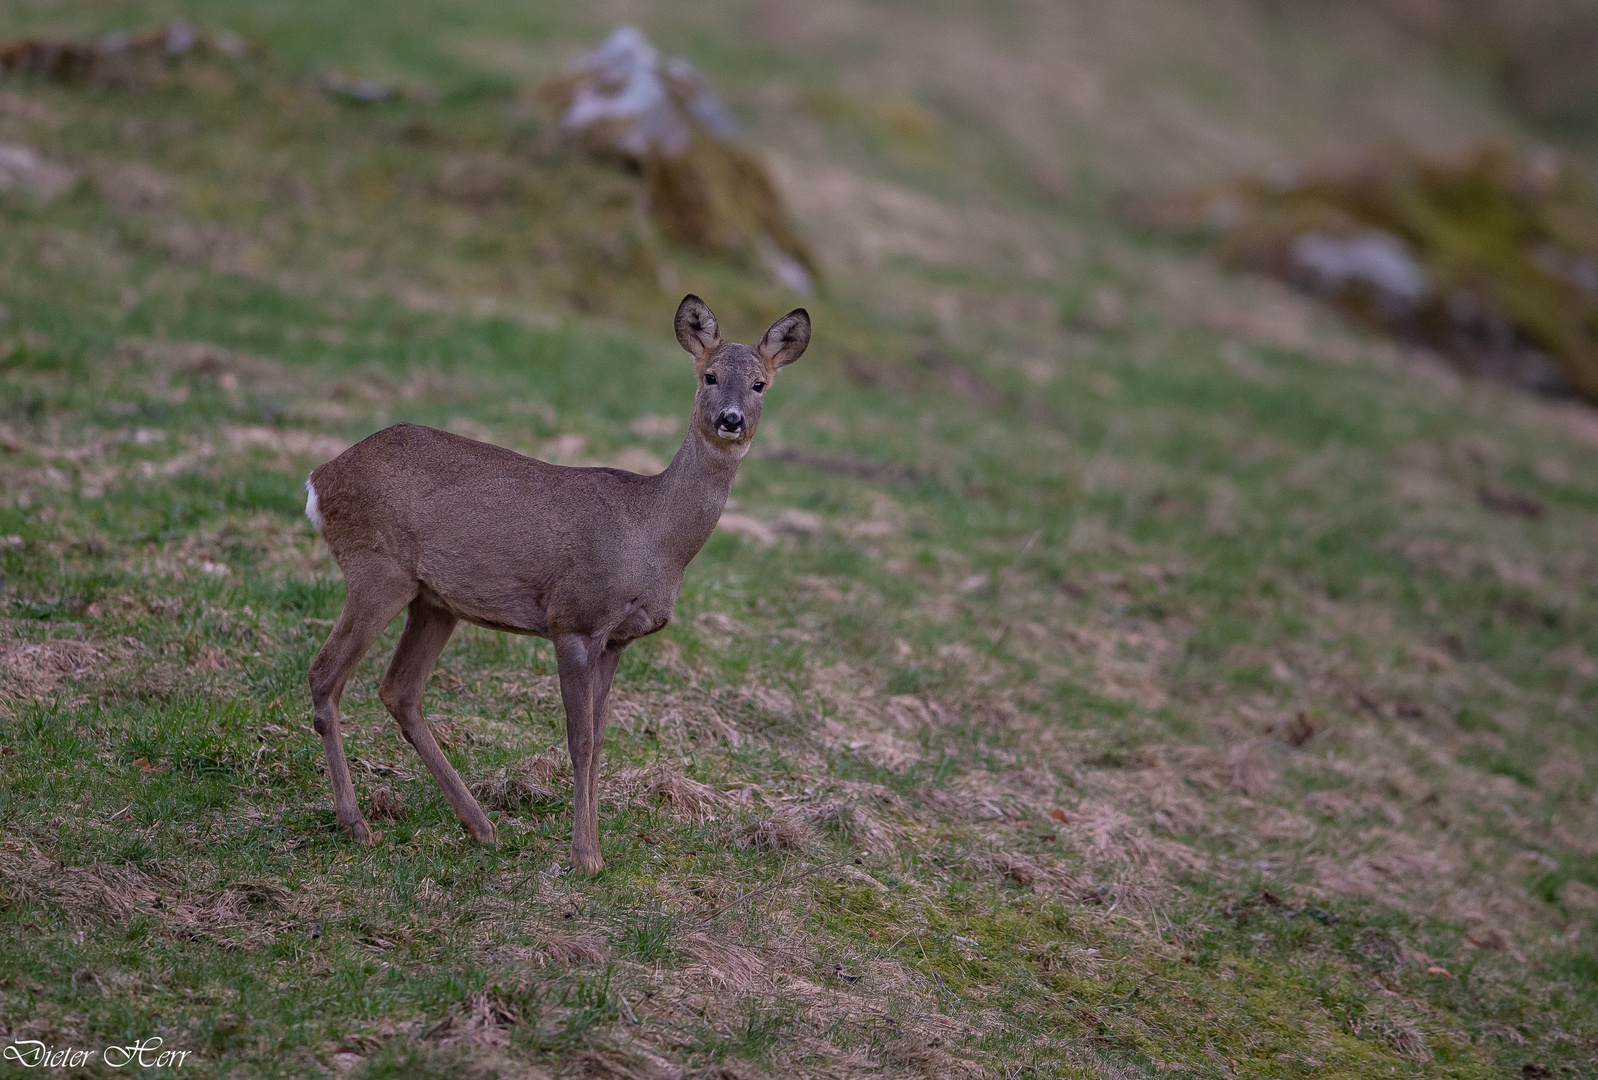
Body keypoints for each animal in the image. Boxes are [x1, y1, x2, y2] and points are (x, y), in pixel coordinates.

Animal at [303, 293, 811, 869]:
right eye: (709, 375)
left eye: (760, 384)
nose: (730, 419)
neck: (651, 536)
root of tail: (320, 479)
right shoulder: (574, 619)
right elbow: (580, 741)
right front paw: (585, 856)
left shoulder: (617, 639)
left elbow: (601, 740)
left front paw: (595, 848)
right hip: (377, 570)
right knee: (326, 675)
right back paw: (357, 823)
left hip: (434, 600)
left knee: (400, 691)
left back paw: (480, 825)